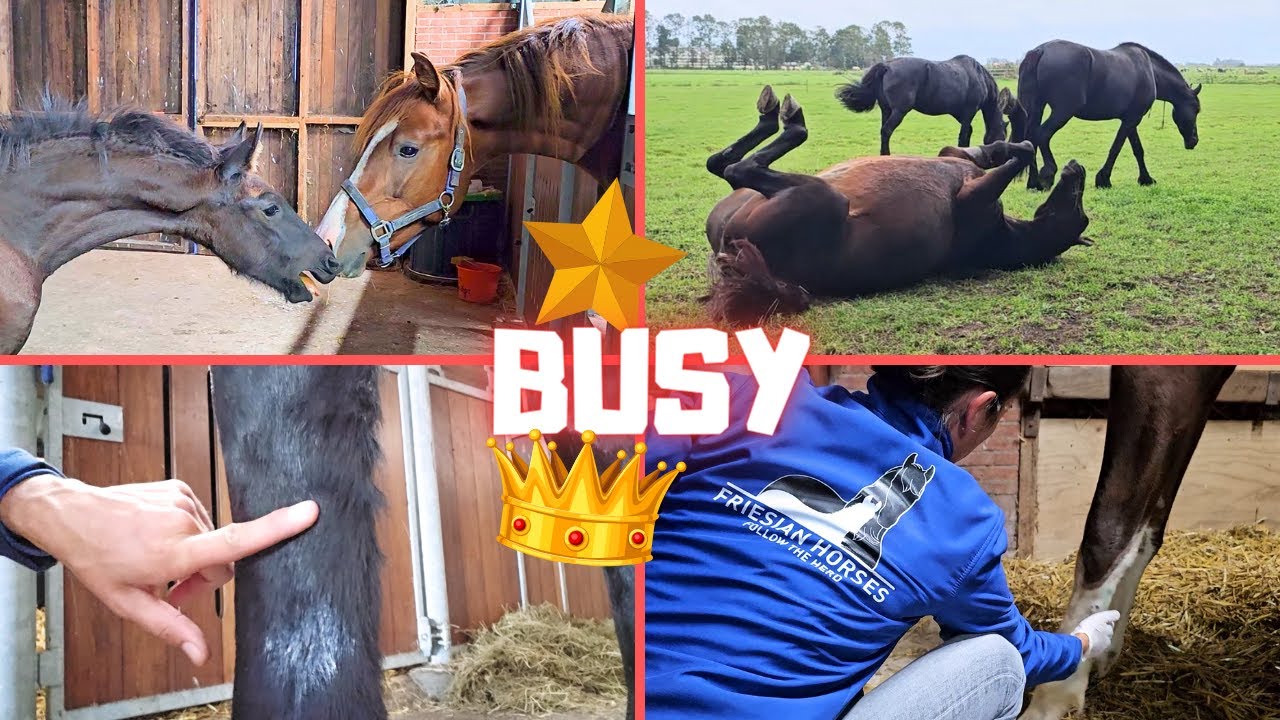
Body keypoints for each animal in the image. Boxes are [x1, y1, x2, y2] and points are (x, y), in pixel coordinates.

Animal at [704, 86, 1092, 327]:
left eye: (1078, 208)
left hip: (820, 196)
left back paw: (785, 116)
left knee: (739, 167)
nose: (1078, 168)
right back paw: (773, 113)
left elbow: (1020, 153)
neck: (999, 234)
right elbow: (1002, 149)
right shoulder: (958, 158)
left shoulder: (973, 197)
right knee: (723, 165)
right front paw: (1009, 132)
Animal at [836, 55, 1007, 156]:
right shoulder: (969, 112)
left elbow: (967, 132)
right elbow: (964, 135)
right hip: (899, 111)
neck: (979, 76)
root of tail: (887, 66)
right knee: (887, 130)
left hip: (887, 110)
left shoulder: (959, 113)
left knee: (884, 131)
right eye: (1004, 137)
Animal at [1008, 41, 1202, 190]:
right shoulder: (1132, 119)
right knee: (1042, 135)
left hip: (1037, 108)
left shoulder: (1130, 119)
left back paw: (1033, 183)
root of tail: (1041, 50)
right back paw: (1047, 175)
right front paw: (1104, 179)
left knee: (1031, 139)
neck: (1150, 71)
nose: (1194, 140)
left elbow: (1137, 150)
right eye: (1196, 109)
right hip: (1062, 112)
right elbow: (1116, 148)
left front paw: (1145, 179)